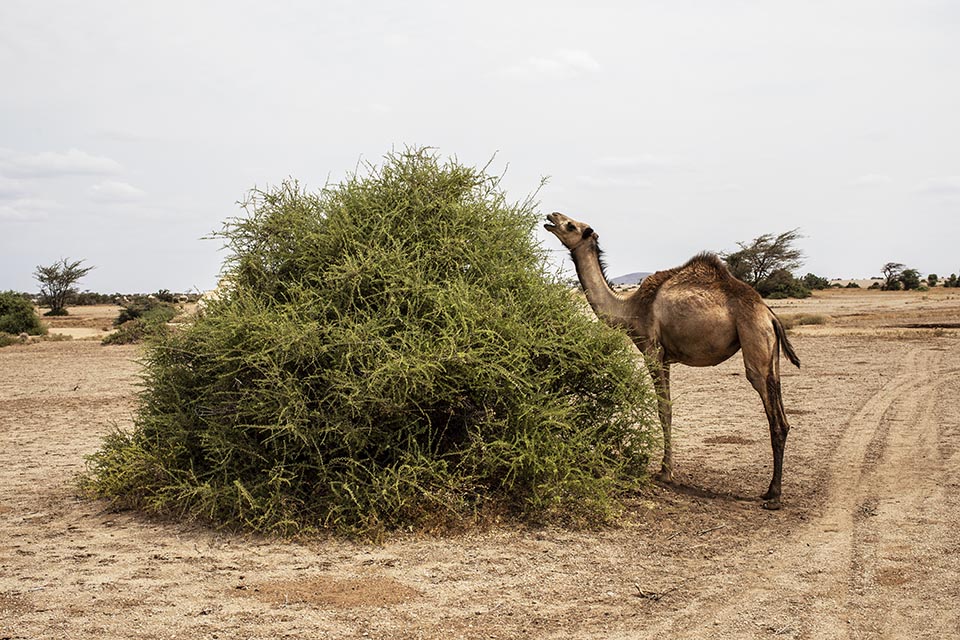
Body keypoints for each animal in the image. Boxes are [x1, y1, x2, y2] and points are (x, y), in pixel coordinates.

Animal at [544, 212, 800, 508]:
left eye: (571, 225)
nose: (551, 217)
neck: (628, 308)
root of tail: (769, 314)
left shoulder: (651, 350)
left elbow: (663, 409)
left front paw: (665, 473)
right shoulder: (665, 357)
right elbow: (667, 408)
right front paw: (667, 469)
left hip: (754, 340)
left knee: (773, 414)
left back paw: (774, 496)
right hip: (771, 354)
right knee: (781, 410)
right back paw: (770, 491)